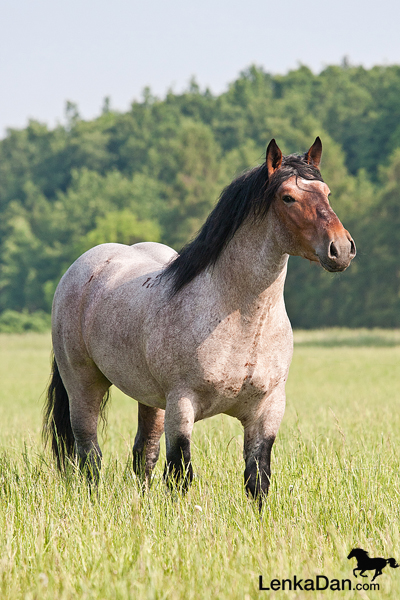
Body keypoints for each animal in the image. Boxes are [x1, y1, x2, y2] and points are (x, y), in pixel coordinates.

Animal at [43, 138, 356, 508]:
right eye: (287, 197)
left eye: (327, 192)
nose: (341, 249)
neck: (240, 317)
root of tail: (81, 268)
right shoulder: (182, 404)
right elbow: (180, 475)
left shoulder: (267, 410)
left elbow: (257, 479)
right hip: (84, 385)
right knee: (89, 453)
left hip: (151, 400)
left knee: (143, 454)